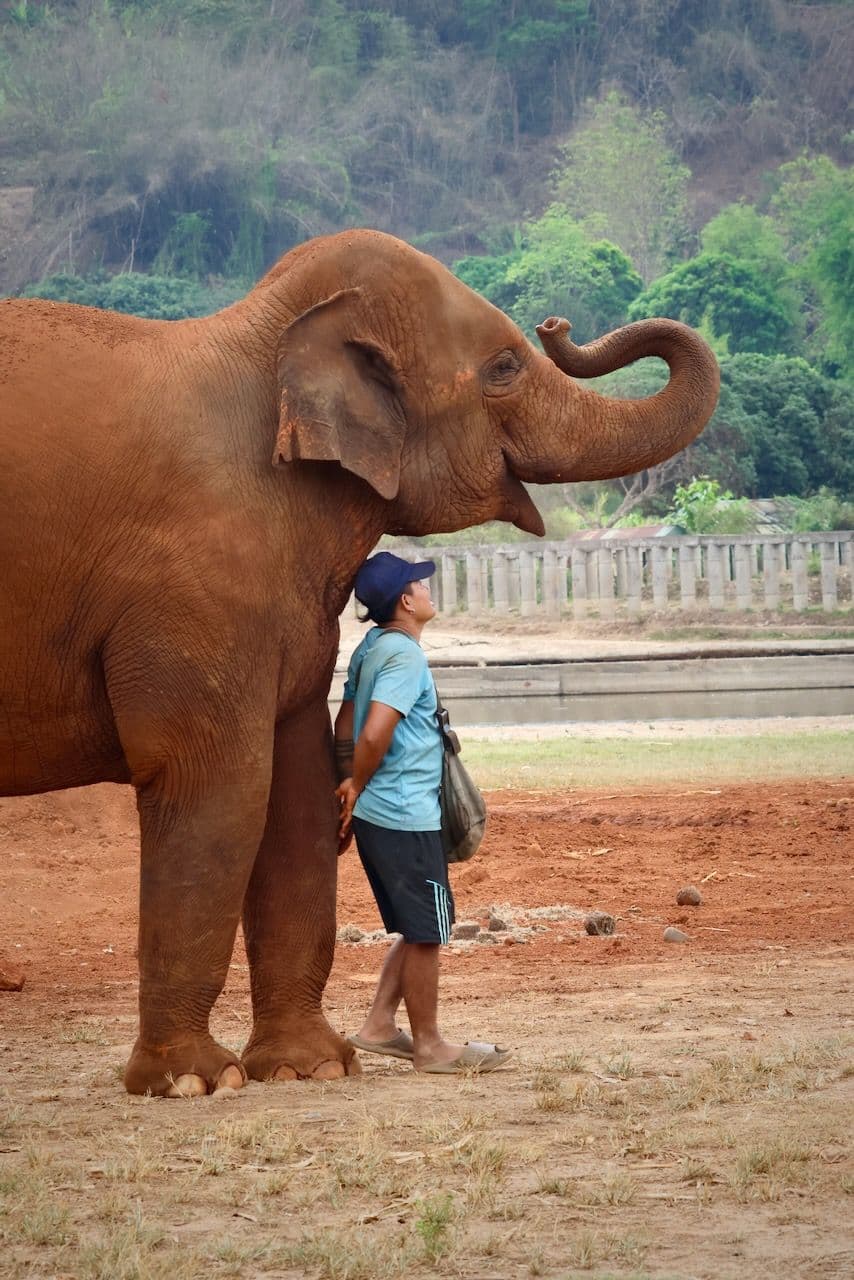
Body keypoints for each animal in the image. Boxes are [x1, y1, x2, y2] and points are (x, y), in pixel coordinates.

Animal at [0, 230, 719, 1096]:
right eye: (505, 365)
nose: (557, 322)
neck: (267, 339)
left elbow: (301, 789)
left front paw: (313, 1067)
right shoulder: (190, 589)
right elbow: (214, 784)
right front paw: (195, 1082)